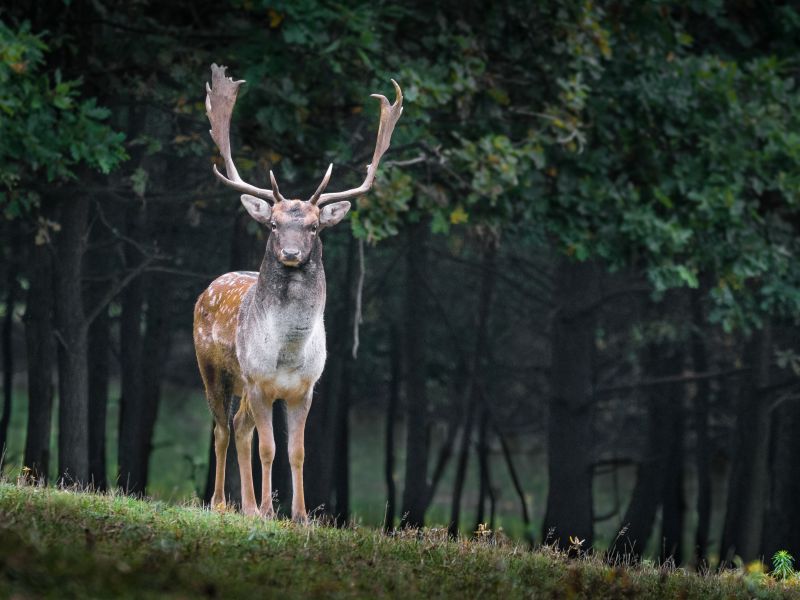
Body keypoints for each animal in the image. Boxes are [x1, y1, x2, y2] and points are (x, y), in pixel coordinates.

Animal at [194, 64, 402, 521]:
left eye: (314, 226)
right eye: (273, 224)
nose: (290, 253)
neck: (288, 353)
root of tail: (208, 288)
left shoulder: (305, 388)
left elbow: (297, 451)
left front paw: (300, 515)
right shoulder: (259, 381)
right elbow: (269, 449)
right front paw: (269, 510)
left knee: (239, 428)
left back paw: (246, 506)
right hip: (213, 369)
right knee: (221, 428)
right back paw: (222, 503)